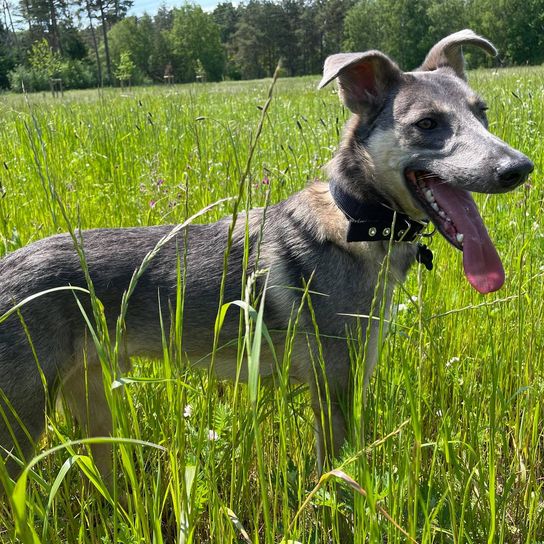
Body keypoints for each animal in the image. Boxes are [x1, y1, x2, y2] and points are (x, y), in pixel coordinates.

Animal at [0, 29, 536, 488]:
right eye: (427, 124)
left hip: (90, 404)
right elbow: (338, 482)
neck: (355, 219)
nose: (520, 168)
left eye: (482, 113)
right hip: (20, 427)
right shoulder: (335, 391)